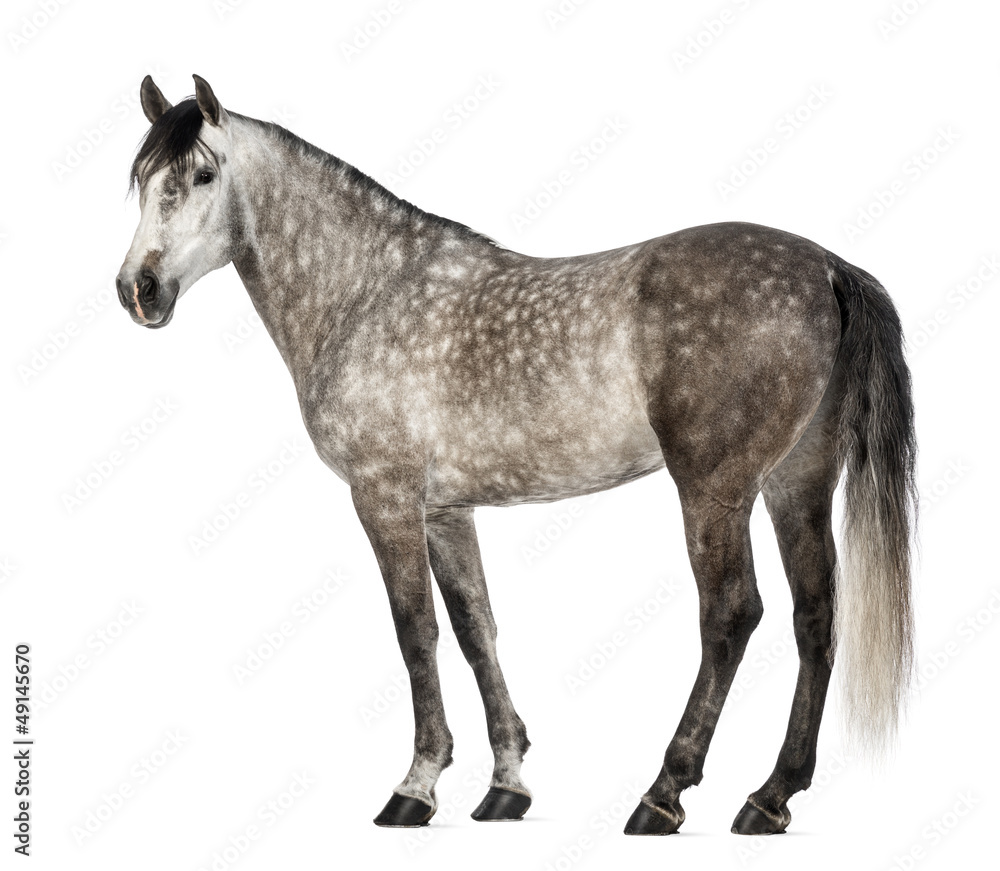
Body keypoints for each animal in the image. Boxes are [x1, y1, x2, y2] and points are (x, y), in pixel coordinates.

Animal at [117, 75, 916, 835]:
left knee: (730, 614)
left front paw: (415, 785)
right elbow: (477, 631)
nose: (138, 289)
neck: (369, 292)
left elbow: (416, 632)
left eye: (203, 174)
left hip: (714, 489)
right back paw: (770, 798)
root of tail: (826, 267)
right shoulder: (446, 510)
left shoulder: (384, 497)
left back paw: (662, 795)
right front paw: (506, 784)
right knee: (815, 617)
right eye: (142, 178)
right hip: (795, 483)